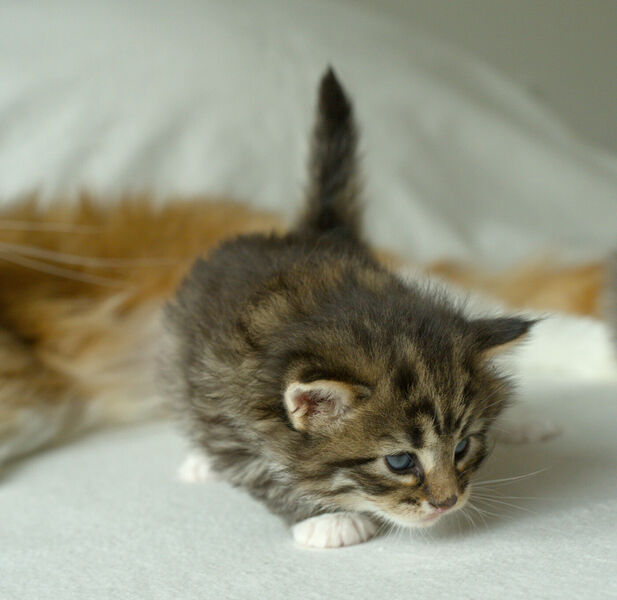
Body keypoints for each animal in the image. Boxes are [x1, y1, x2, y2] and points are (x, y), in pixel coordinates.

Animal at [161, 70, 536, 548]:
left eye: (462, 447)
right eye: (400, 462)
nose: (447, 501)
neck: (348, 306)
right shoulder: (226, 408)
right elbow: (261, 470)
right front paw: (327, 519)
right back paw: (200, 462)